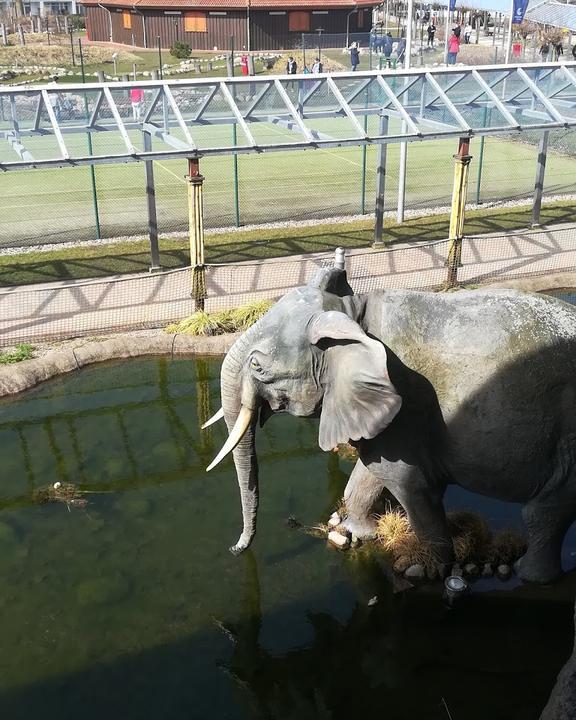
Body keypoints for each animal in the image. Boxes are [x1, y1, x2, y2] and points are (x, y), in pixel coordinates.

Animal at [204, 258, 576, 584]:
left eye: (257, 366)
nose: (235, 549)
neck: (354, 316)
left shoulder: (408, 399)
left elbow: (405, 480)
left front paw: (421, 569)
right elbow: (371, 469)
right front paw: (352, 531)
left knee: (546, 511)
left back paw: (530, 576)